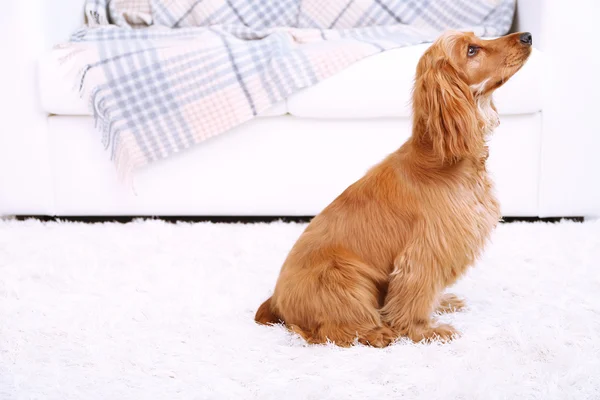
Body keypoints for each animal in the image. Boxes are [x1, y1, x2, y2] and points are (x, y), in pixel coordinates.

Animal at [255, 29, 532, 346]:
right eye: (471, 50)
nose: (527, 36)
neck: (440, 160)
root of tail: (274, 300)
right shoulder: (424, 252)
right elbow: (415, 296)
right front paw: (425, 331)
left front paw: (442, 303)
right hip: (342, 275)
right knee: (327, 331)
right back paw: (377, 333)